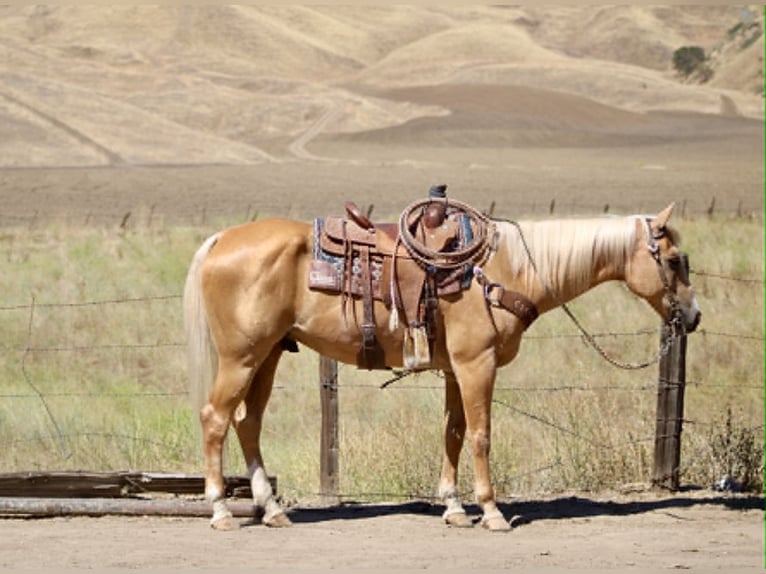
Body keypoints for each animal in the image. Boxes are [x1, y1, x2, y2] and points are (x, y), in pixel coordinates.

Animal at [183, 201, 701, 531]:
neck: (506, 269)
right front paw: (491, 512)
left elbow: (452, 432)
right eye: (675, 259)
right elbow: (480, 435)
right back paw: (221, 512)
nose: (693, 316)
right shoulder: (478, 364)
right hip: (241, 357)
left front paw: (453, 507)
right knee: (215, 419)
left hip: (267, 355)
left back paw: (272, 510)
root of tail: (220, 239)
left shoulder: (456, 369)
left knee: (247, 423)